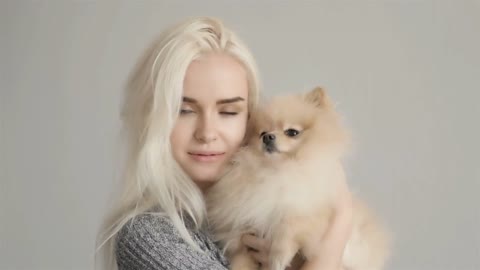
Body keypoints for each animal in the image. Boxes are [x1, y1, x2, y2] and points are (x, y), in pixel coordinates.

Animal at [206, 87, 390, 268]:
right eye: (262, 133)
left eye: (292, 132)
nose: (267, 137)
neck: (277, 171)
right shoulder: (242, 230)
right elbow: (241, 258)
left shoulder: (309, 210)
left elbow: (289, 225)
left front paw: (278, 257)